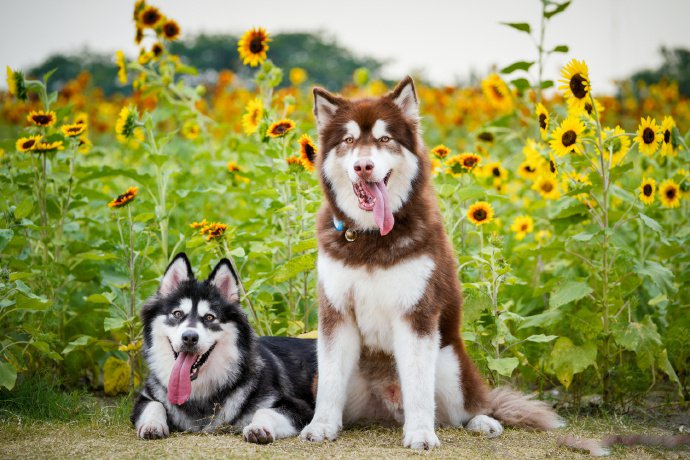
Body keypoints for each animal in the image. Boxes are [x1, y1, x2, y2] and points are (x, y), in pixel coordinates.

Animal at [130, 253, 316, 444]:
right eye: (177, 314)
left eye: (209, 317)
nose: (189, 337)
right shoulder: (145, 398)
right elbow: (155, 404)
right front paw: (153, 425)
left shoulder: (300, 408)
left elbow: (263, 410)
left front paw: (259, 427)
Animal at [298, 76, 560, 450]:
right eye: (348, 140)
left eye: (384, 139)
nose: (363, 165)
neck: (371, 238)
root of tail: (387, 410)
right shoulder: (336, 314)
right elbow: (332, 383)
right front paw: (320, 427)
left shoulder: (417, 314)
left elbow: (419, 388)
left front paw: (421, 433)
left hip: (449, 363)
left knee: (469, 407)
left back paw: (482, 421)